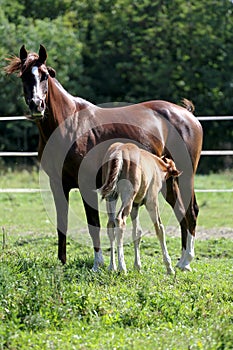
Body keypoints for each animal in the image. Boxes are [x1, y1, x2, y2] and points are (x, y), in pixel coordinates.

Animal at [99, 142, 181, 274]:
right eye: (172, 178)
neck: (157, 165)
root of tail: (119, 151)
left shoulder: (135, 206)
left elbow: (137, 232)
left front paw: (137, 266)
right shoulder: (152, 201)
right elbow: (159, 228)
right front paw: (169, 267)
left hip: (111, 196)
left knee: (110, 224)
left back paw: (112, 266)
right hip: (128, 196)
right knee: (120, 220)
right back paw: (122, 267)